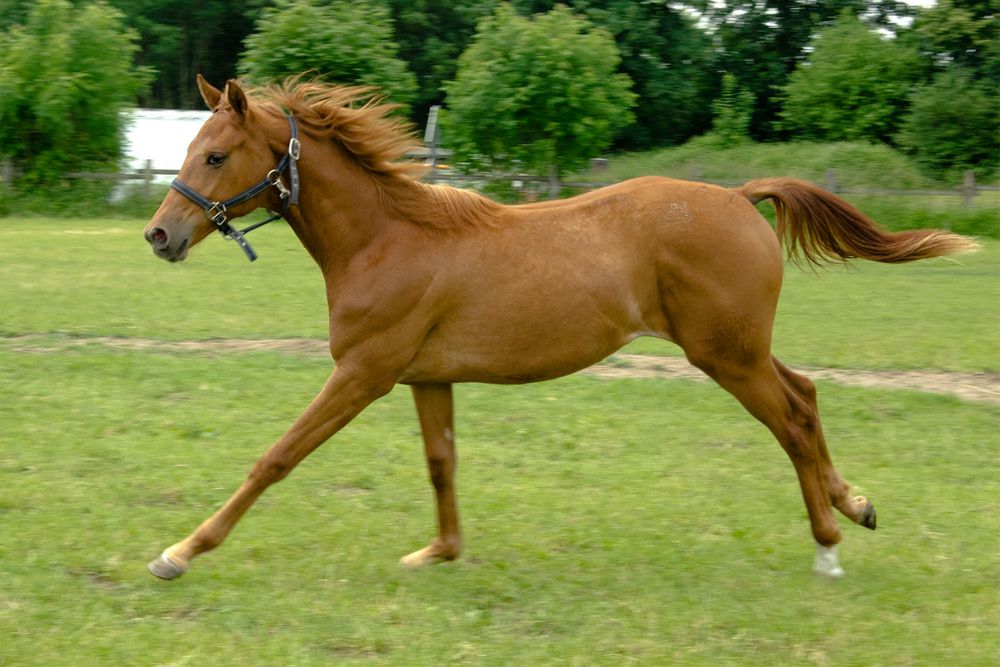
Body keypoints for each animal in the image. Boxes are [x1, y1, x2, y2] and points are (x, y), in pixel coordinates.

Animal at [143, 77, 976, 580]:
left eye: (216, 154)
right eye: (190, 149)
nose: (159, 235)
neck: (388, 238)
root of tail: (742, 196)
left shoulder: (362, 373)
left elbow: (276, 457)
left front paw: (180, 551)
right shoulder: (426, 375)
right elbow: (442, 462)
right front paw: (439, 551)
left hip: (727, 355)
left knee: (793, 420)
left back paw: (829, 547)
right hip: (742, 349)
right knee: (805, 393)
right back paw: (856, 504)